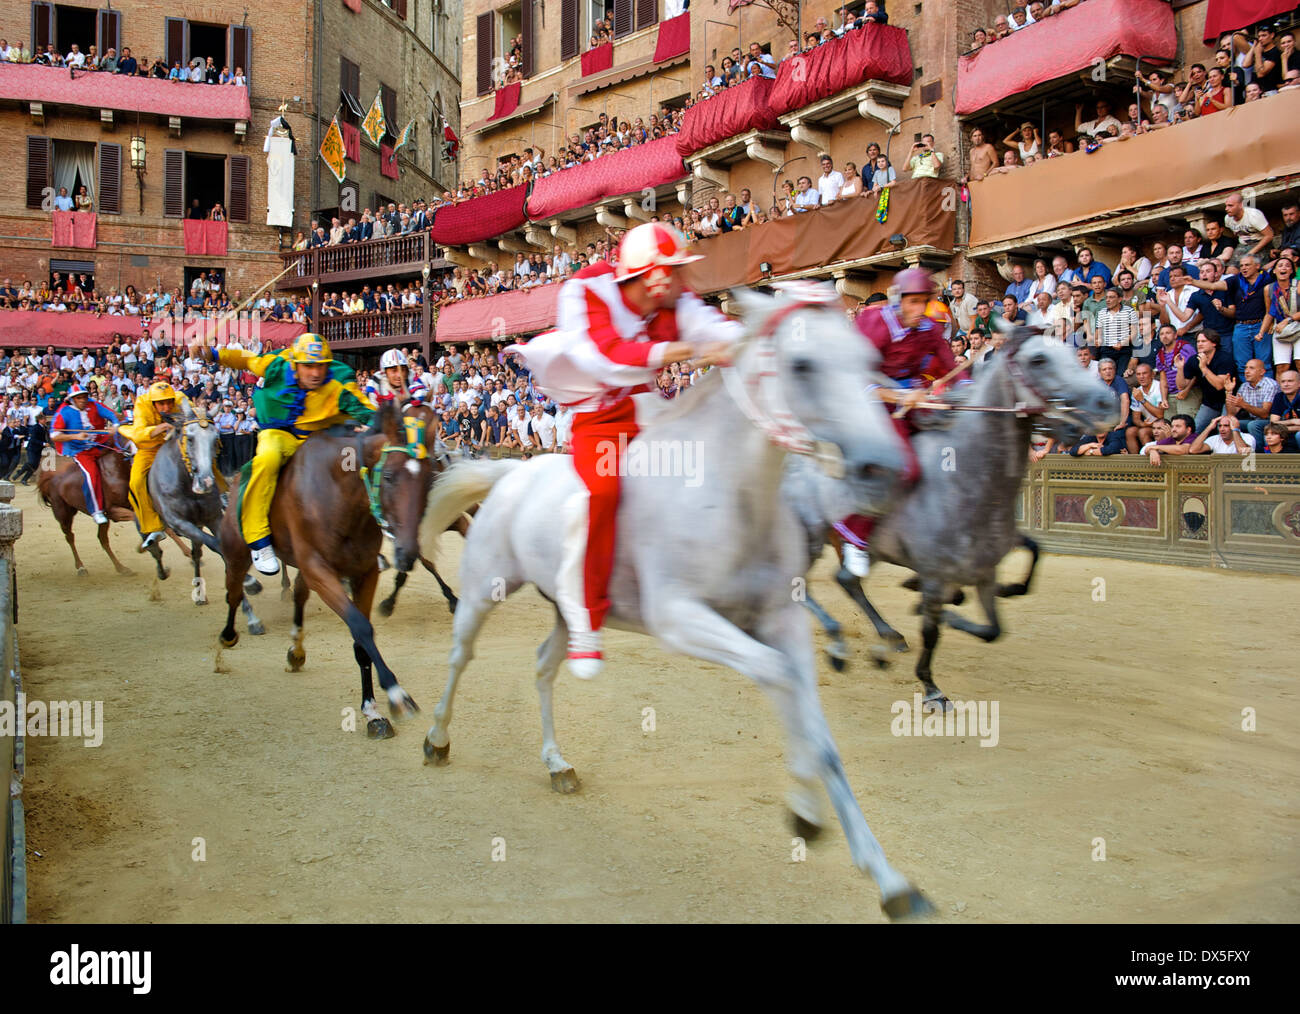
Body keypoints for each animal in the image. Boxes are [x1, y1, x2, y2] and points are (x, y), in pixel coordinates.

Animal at [38, 439, 171, 582]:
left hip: (101, 519)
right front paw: (145, 545)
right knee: (70, 537)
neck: (117, 470)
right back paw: (81, 567)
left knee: (102, 539)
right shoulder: (113, 511)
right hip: (63, 514)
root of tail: (49, 476)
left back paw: (121, 568)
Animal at [218, 395, 421, 738]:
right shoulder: (319, 568)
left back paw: (296, 650)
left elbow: (361, 637)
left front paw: (373, 711)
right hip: (236, 550)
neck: (343, 497)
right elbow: (360, 626)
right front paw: (397, 695)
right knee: (233, 591)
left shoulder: (363, 571)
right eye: (390, 477)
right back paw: (230, 633)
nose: (408, 552)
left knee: (298, 593)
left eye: (428, 476)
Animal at [416, 283, 946, 920]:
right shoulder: (681, 618)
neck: (731, 495)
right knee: (459, 657)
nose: (883, 471)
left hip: (569, 612)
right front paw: (806, 810)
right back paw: (436, 740)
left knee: (543, 667)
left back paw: (557, 763)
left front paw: (882, 874)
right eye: (802, 365)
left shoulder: (783, 619)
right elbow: (779, 679)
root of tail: (507, 475)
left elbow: (820, 735)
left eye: (871, 361)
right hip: (483, 589)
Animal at [785, 321, 1123, 707]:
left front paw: (971, 603)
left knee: (847, 580)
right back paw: (838, 640)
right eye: (1038, 359)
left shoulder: (985, 570)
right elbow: (932, 630)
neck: (967, 482)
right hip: (810, 534)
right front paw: (931, 686)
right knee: (799, 585)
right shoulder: (936, 573)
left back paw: (888, 635)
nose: (1106, 404)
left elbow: (993, 628)